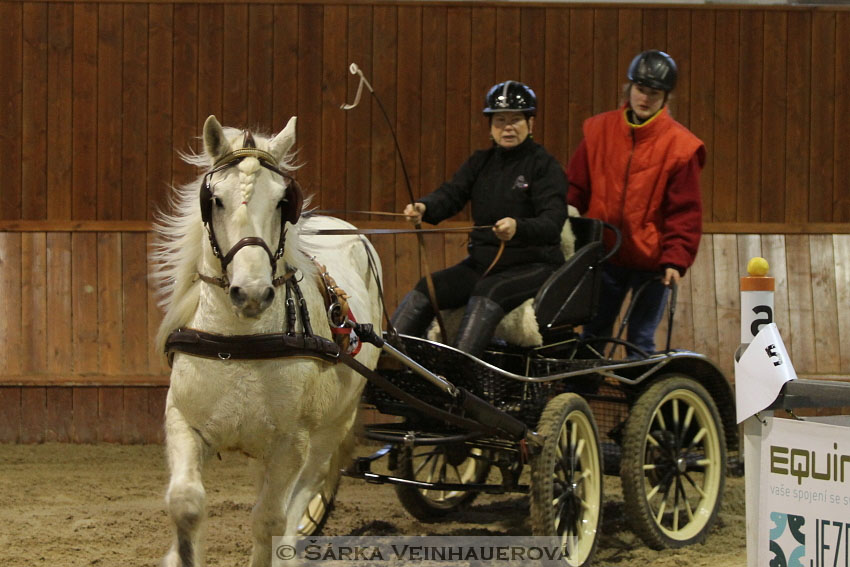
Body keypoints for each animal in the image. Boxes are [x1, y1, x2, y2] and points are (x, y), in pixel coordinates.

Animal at [152, 115, 380, 567]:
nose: (252, 293)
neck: (241, 343)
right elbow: (185, 502)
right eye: (215, 199)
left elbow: (268, 521)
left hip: (332, 426)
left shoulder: (291, 442)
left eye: (281, 202)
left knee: (305, 490)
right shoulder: (184, 422)